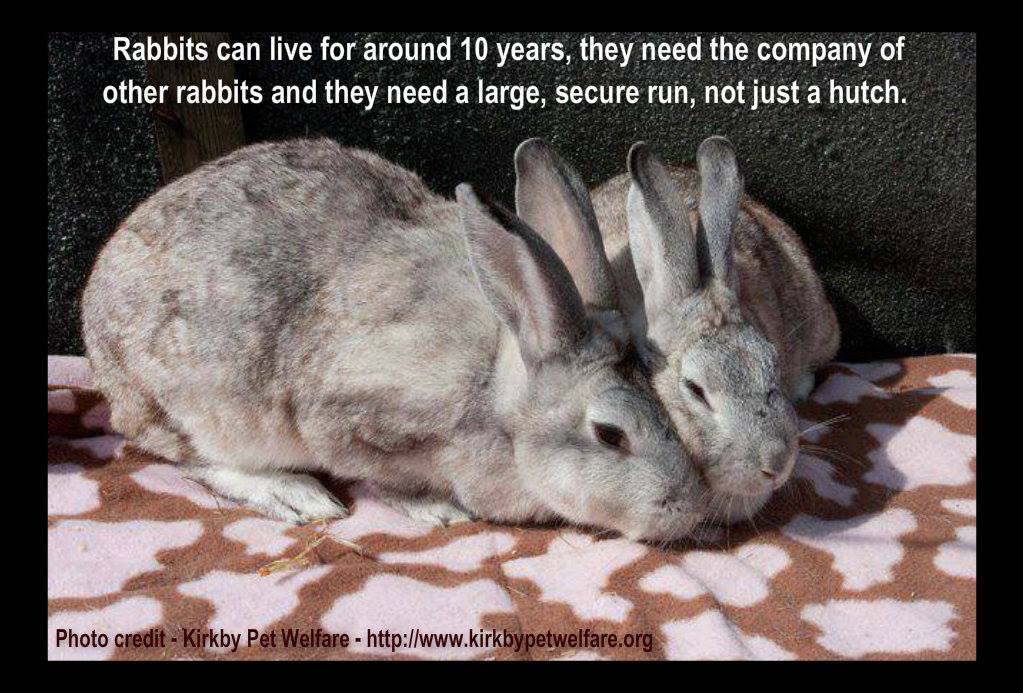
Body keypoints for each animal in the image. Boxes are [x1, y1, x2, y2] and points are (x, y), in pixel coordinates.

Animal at [81, 137, 710, 543]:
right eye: (610, 435)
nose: (688, 508)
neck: (497, 384)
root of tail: (91, 313)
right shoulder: (347, 421)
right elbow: (385, 481)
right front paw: (440, 512)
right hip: (197, 408)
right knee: (191, 459)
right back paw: (296, 494)